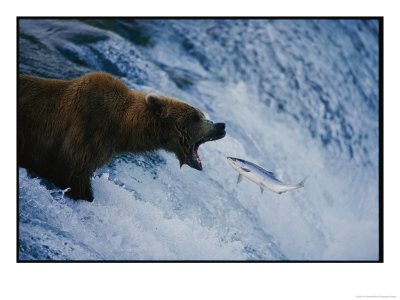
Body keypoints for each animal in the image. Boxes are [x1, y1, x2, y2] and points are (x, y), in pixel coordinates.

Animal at [18, 72, 225, 202]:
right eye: (196, 117)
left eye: (202, 115)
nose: (221, 126)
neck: (120, 126)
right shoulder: (84, 131)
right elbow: (73, 173)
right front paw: (86, 197)